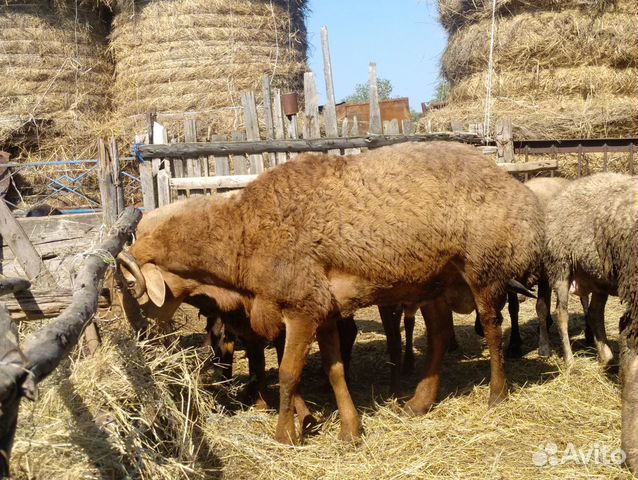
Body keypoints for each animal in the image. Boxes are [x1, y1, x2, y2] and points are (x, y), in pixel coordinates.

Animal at [119, 141, 544, 444]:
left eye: (134, 290)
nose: (142, 339)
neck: (243, 235)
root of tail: (517, 188)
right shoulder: (321, 309)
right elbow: (334, 369)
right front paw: (349, 430)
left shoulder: (300, 309)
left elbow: (289, 373)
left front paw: (286, 435)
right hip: (432, 283)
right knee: (439, 337)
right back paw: (418, 403)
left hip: (483, 268)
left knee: (492, 325)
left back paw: (497, 393)